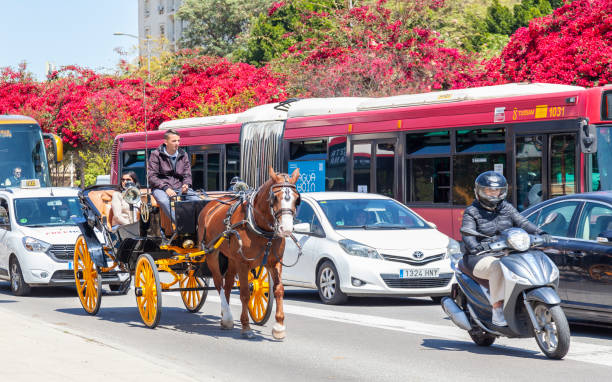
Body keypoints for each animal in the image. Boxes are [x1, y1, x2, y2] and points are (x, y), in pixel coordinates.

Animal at [197, 166, 300, 338]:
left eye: (297, 198)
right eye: (274, 197)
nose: (286, 229)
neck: (258, 225)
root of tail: (210, 205)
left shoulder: (274, 262)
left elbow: (279, 290)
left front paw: (279, 327)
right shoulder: (243, 263)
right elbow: (245, 293)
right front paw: (246, 326)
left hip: (231, 258)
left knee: (228, 284)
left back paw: (225, 318)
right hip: (212, 253)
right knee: (219, 283)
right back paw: (228, 316)